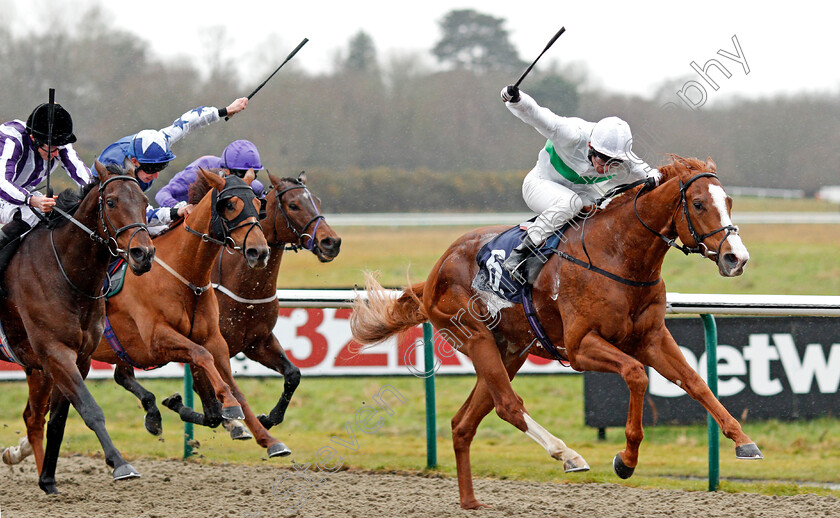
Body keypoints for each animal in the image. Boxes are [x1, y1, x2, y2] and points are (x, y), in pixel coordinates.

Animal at [0, 162, 154, 496]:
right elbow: (91, 409)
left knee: (33, 417)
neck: (67, 274)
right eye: (111, 202)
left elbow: (59, 419)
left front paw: (48, 480)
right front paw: (120, 464)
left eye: (144, 201)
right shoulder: (57, 354)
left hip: (36, 369)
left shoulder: (77, 358)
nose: (143, 254)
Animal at [112, 171, 342, 442]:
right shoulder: (201, 345)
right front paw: (222, 418)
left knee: (120, 373)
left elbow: (293, 375)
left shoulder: (257, 342)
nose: (331, 242)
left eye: (317, 201)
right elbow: (211, 407)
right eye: (293, 205)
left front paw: (267, 418)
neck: (245, 290)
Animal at [350, 155, 760, 512]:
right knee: (508, 405)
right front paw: (626, 459)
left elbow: (696, 382)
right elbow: (636, 375)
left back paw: (470, 501)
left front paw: (743, 441)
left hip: (510, 351)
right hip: (474, 336)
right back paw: (568, 454)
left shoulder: (652, 339)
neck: (618, 254)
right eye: (698, 203)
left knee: (464, 422)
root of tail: (436, 271)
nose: (736, 258)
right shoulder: (581, 347)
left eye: (729, 201)